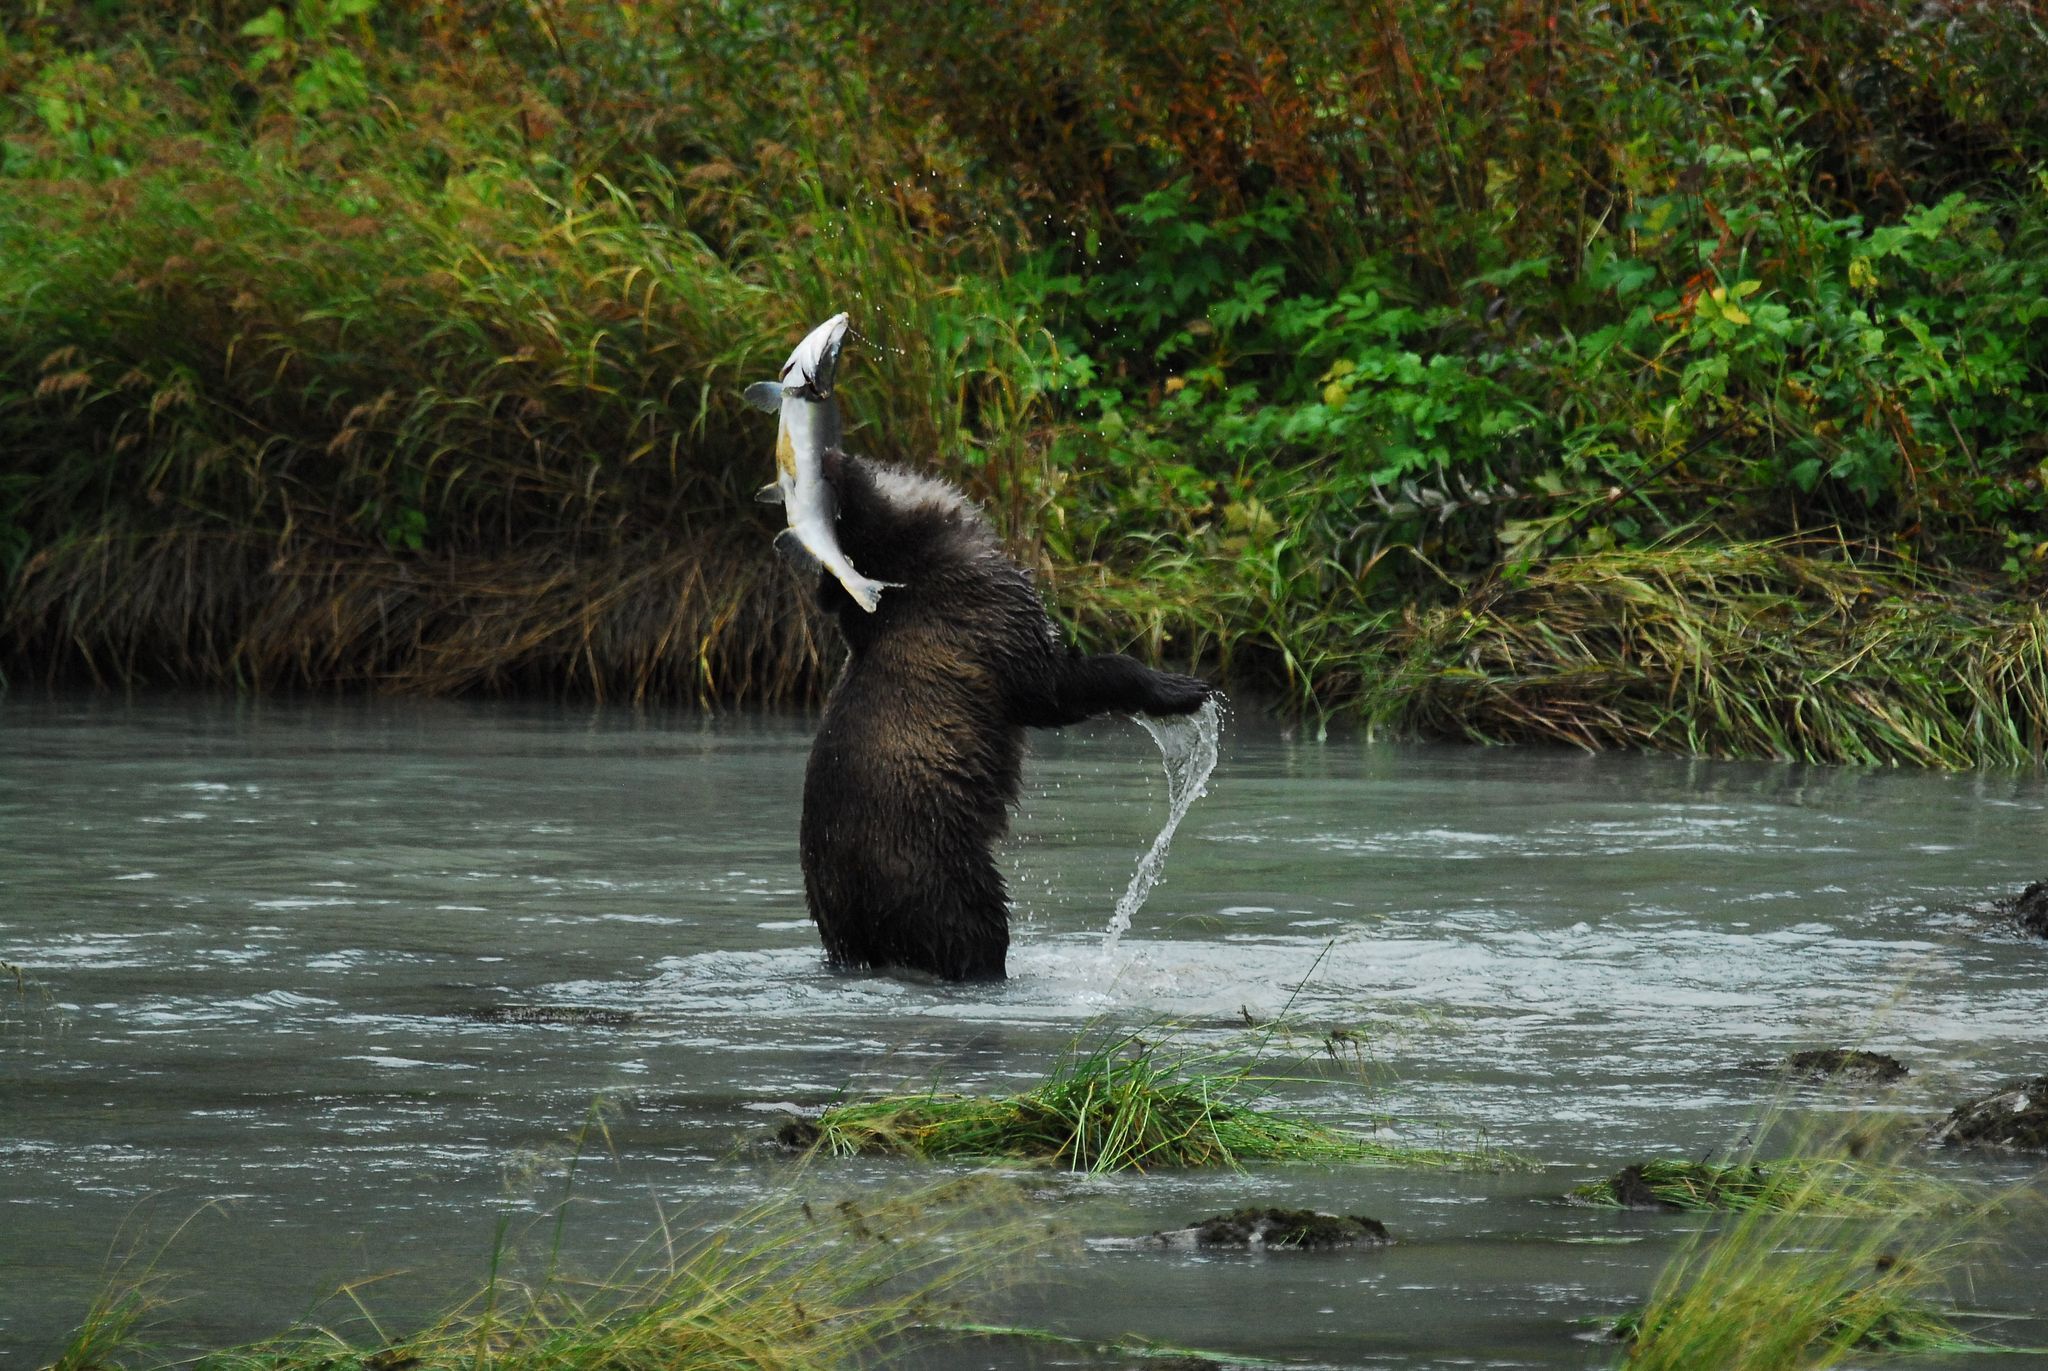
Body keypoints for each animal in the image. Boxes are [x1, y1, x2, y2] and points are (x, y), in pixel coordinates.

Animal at [794, 449, 1217, 981]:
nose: (828, 456)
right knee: (971, 929)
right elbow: (1057, 686)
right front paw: (1182, 688)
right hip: (931, 863)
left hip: (840, 913)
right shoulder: (987, 625)